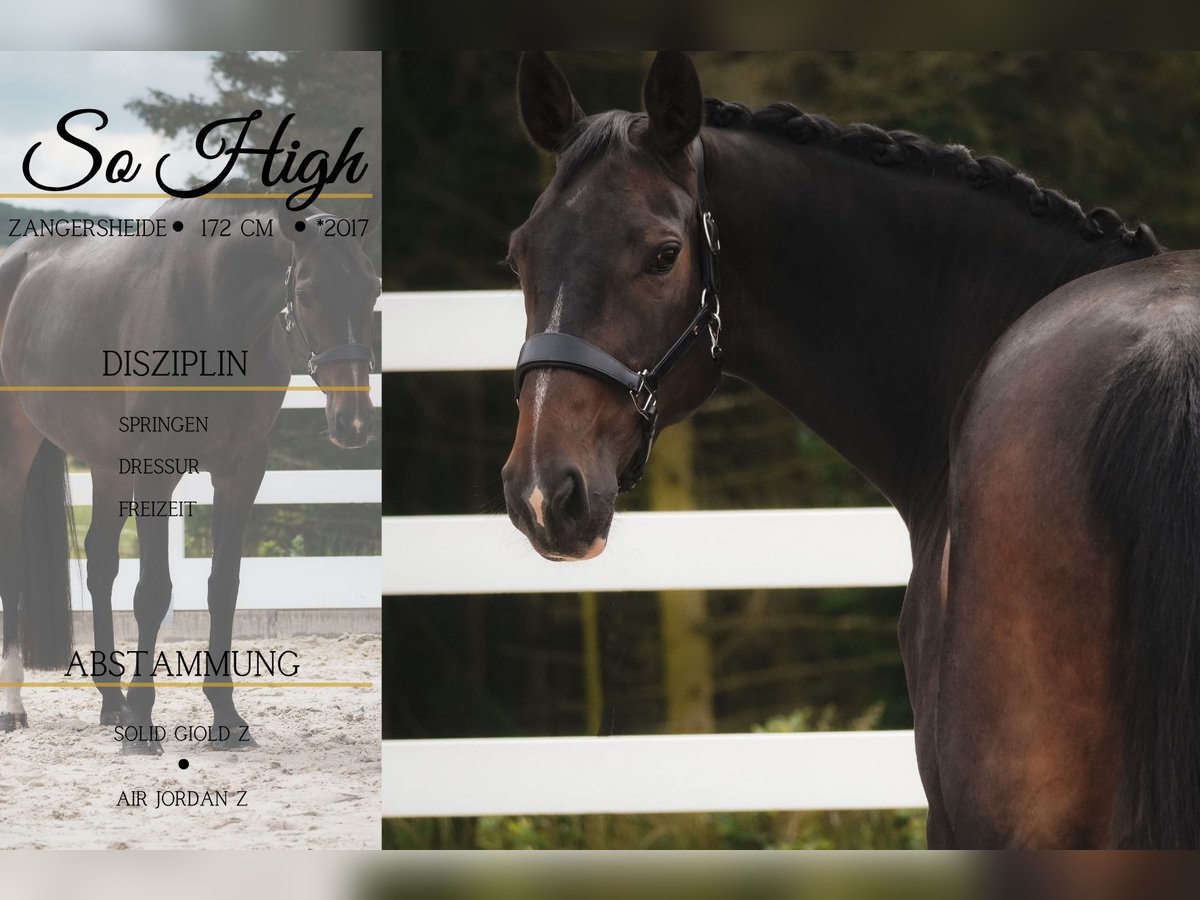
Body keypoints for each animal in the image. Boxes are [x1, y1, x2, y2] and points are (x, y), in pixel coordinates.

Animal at [0, 182, 378, 753]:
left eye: (372, 290)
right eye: (309, 294)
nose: (354, 422)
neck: (213, 308)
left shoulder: (243, 471)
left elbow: (223, 586)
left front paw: (226, 716)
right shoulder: (156, 470)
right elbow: (153, 593)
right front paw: (142, 724)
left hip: (108, 465)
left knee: (101, 562)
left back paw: (110, 701)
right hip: (17, 444)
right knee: (15, 562)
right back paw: (15, 706)